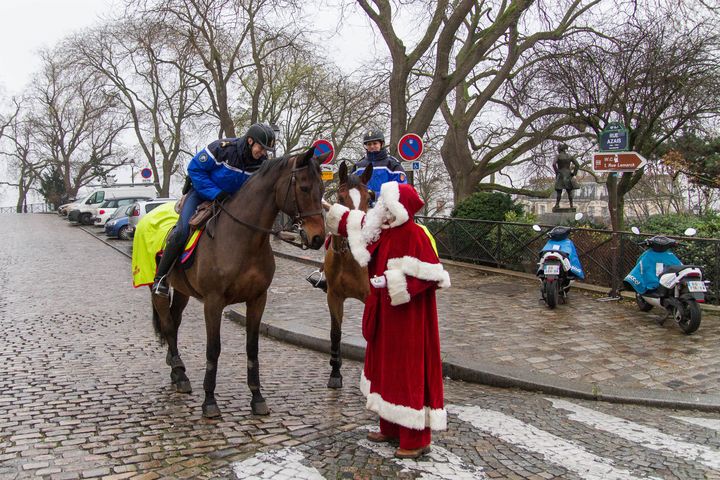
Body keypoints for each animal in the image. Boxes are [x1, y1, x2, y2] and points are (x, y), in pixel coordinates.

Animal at [152, 146, 326, 416]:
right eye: (305, 187)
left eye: (323, 189)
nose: (318, 237)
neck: (243, 239)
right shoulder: (213, 303)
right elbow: (213, 349)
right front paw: (209, 400)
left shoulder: (257, 299)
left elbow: (252, 347)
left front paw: (257, 397)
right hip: (158, 286)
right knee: (168, 323)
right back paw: (179, 373)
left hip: (182, 290)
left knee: (175, 320)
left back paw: (176, 369)